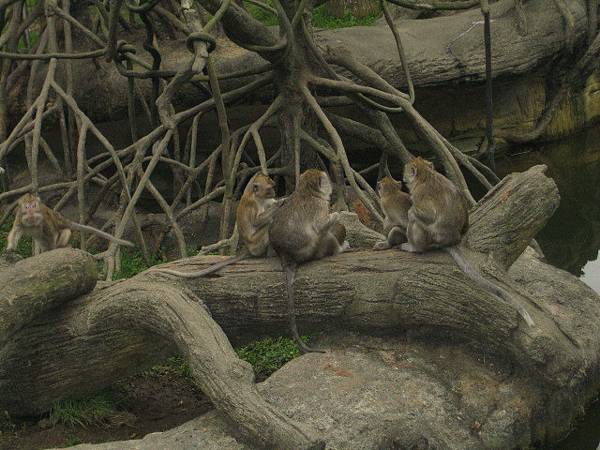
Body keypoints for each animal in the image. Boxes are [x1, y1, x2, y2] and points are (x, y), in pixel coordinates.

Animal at [5, 192, 133, 253]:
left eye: (34, 205)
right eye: (27, 207)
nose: (31, 211)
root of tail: (61, 219)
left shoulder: (44, 219)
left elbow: (51, 234)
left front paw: (51, 250)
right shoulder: (19, 217)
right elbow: (15, 232)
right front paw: (10, 249)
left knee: (65, 231)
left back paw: (62, 246)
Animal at [156, 172, 284, 278]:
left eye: (273, 186)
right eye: (270, 188)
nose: (274, 192)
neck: (257, 196)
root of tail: (248, 249)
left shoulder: (266, 200)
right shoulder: (252, 204)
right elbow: (256, 221)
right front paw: (279, 203)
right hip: (256, 245)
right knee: (268, 224)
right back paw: (270, 254)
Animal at [270, 170, 350, 356]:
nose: (332, 185)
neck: (307, 191)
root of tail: (285, 254)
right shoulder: (320, 205)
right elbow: (321, 225)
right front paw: (336, 214)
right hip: (312, 251)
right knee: (325, 234)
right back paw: (339, 249)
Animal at [404, 158, 536, 326]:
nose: (403, 177)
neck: (426, 175)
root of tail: (449, 241)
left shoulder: (419, 194)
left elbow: (425, 214)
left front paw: (410, 212)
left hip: (429, 236)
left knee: (415, 221)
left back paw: (414, 247)